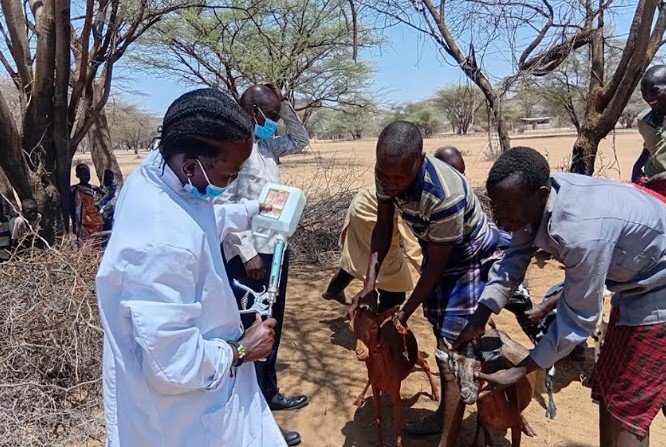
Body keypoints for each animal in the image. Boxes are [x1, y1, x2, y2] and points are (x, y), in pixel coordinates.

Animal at [350, 300, 438, 447]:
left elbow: (397, 425)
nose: (360, 352)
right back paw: (360, 397)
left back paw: (435, 392)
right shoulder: (375, 386)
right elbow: (378, 418)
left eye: (374, 326)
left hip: (413, 356)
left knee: (425, 363)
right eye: (351, 327)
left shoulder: (396, 391)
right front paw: (379, 443)